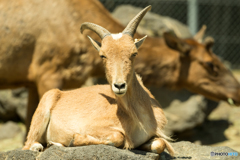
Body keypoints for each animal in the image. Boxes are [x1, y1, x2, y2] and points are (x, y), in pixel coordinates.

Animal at [22, 5, 173, 156]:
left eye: (134, 53)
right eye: (102, 55)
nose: (119, 86)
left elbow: (159, 144)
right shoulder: (94, 126)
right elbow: (118, 137)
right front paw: (74, 140)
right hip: (44, 107)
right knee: (28, 145)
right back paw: (41, 146)